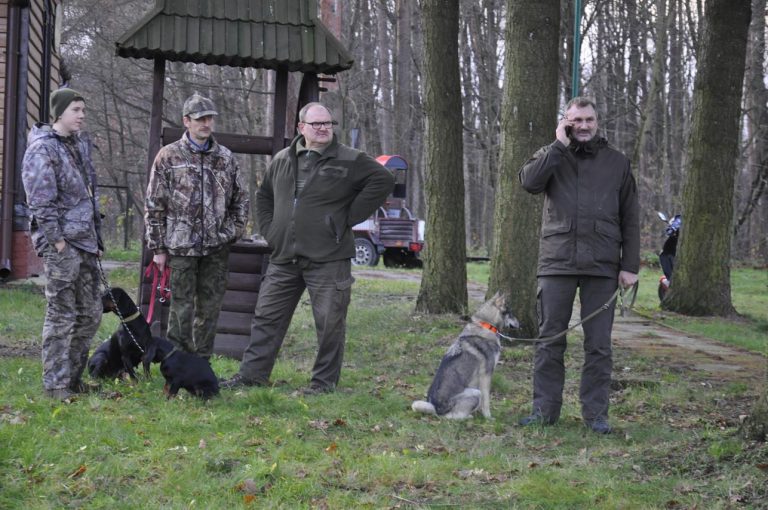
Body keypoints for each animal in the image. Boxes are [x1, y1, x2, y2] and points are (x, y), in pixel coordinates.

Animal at [412, 292, 520, 420]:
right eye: (511, 313)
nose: (520, 324)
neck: (486, 325)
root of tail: (437, 410)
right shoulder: (486, 375)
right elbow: (486, 401)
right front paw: (488, 418)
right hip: (475, 393)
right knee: (452, 417)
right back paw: (468, 417)